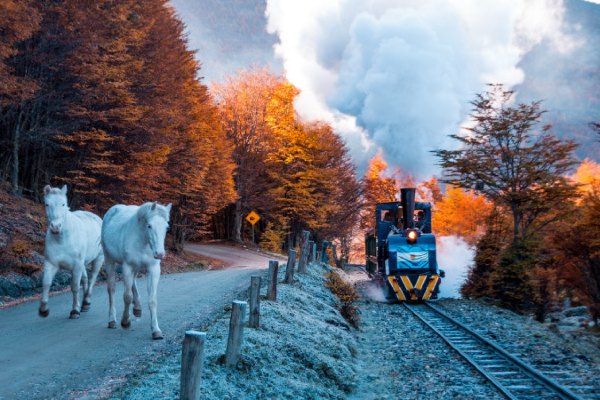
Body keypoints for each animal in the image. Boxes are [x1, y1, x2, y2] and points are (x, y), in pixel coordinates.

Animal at [39, 184, 104, 318]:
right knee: (85, 279)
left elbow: (74, 287)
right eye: (47, 204)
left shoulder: (77, 265)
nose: (55, 227)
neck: (62, 239)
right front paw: (43, 309)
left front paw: (74, 310)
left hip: (98, 259)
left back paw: (86, 301)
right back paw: (84, 304)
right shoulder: (50, 264)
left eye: (63, 204)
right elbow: (46, 283)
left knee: (92, 278)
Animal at [101, 202, 171, 340]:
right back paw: (112, 320)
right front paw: (125, 322)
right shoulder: (127, 267)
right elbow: (127, 296)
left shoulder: (153, 269)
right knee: (111, 289)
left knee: (133, 282)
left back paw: (137, 308)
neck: (143, 240)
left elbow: (152, 300)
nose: (159, 254)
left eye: (166, 227)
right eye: (149, 225)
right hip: (109, 260)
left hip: (136, 267)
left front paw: (156, 330)